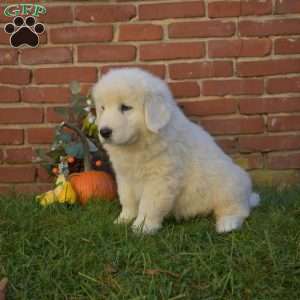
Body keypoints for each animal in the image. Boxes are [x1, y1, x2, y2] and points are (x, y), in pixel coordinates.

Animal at [92, 68, 258, 234]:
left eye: (125, 107)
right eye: (103, 108)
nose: (104, 132)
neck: (137, 145)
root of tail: (248, 197)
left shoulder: (159, 179)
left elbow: (149, 205)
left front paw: (142, 227)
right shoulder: (124, 177)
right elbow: (127, 199)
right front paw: (122, 220)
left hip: (230, 186)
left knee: (237, 210)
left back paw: (227, 224)